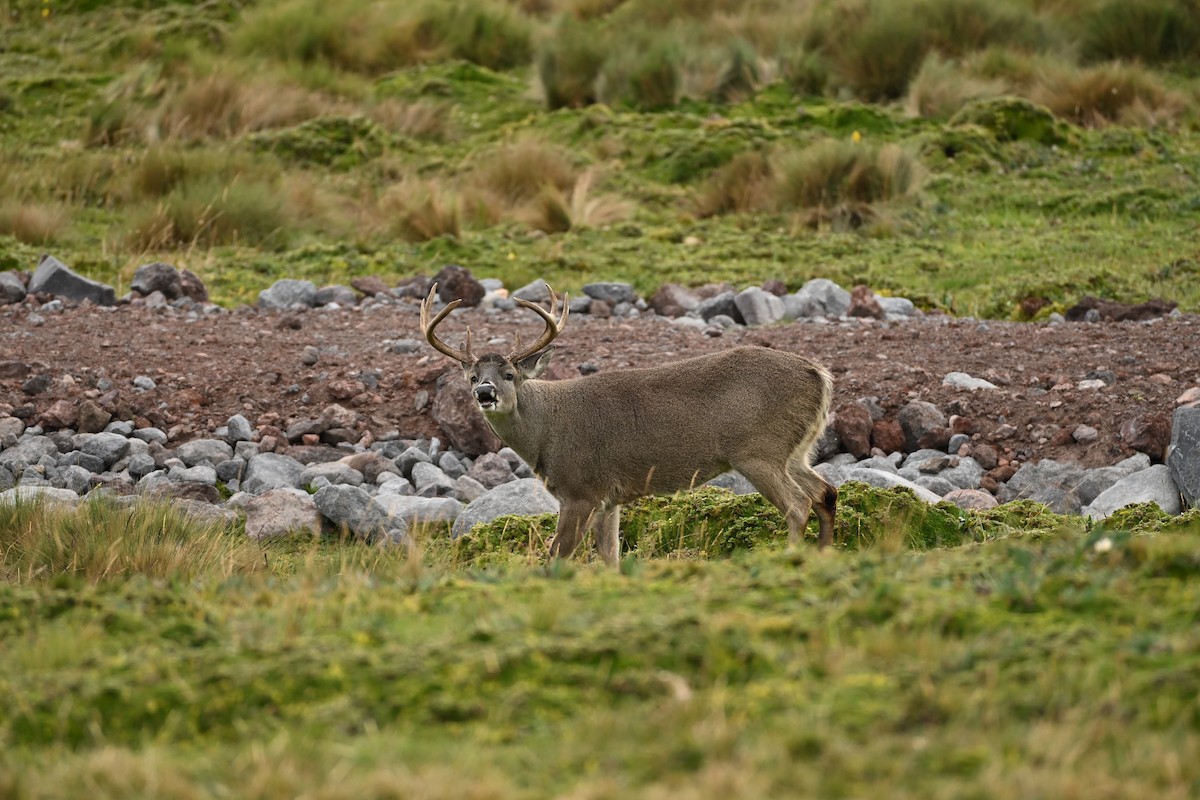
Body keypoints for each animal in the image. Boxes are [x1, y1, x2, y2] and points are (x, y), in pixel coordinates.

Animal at [420, 283, 838, 566]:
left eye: (509, 374)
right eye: (472, 377)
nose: (485, 392)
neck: (546, 431)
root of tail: (819, 374)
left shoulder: (581, 488)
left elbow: (558, 554)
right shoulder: (609, 497)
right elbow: (610, 557)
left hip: (758, 450)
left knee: (798, 504)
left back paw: (791, 558)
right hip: (794, 450)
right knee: (826, 492)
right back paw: (823, 555)